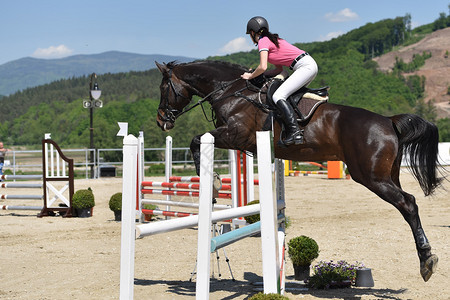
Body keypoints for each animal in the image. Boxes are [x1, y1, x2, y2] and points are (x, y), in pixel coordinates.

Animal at [155, 60, 442, 282]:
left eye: (163, 88)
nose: (161, 121)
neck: (232, 91)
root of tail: (388, 121)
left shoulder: (235, 135)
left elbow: (196, 141)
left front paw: (213, 182)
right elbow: (198, 142)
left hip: (372, 177)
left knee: (408, 203)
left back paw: (426, 260)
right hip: (387, 175)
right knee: (408, 202)